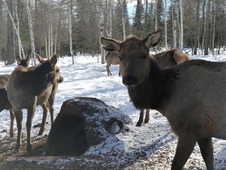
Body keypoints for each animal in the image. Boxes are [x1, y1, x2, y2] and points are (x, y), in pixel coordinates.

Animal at [100, 29, 226, 169]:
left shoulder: (189, 131)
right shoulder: (204, 133)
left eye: (144, 55)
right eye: (121, 56)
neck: (164, 99)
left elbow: (176, 165)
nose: (129, 79)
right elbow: (209, 162)